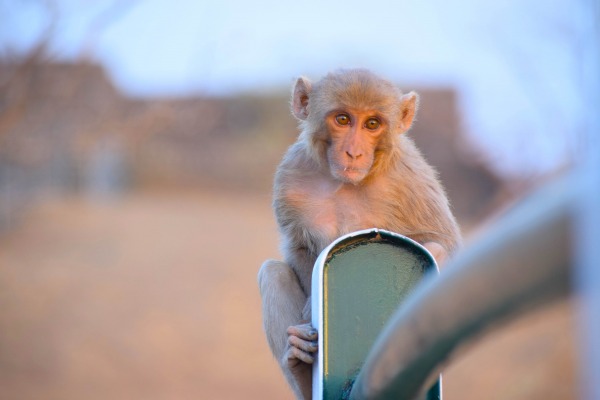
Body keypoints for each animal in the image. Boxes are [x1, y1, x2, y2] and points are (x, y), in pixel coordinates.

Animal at [256, 69, 460, 400]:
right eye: (342, 119)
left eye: (372, 124)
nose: (354, 152)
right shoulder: (290, 176)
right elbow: (299, 249)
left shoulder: (410, 177)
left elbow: (442, 243)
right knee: (272, 271)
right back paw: (301, 367)